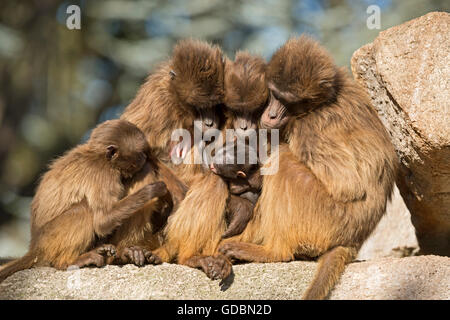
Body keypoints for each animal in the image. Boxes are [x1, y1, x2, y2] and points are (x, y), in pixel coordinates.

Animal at [0, 119, 168, 282]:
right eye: (140, 154)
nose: (145, 157)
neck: (100, 156)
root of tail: (34, 247)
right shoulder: (104, 173)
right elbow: (103, 221)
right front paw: (154, 190)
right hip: (49, 240)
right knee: (84, 209)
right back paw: (68, 262)